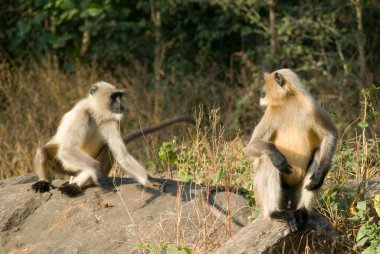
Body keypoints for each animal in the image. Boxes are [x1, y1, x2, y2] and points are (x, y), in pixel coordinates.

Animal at [31, 81, 194, 196]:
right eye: (114, 97)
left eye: (120, 96)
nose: (121, 104)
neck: (96, 113)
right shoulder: (81, 113)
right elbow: (67, 149)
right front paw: (96, 169)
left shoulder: (112, 120)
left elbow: (122, 155)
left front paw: (149, 181)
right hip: (64, 166)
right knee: (43, 150)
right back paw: (44, 181)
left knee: (107, 149)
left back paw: (75, 185)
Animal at [243, 69, 336, 232]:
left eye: (264, 90)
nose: (261, 95)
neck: (289, 101)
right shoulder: (271, 112)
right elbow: (251, 146)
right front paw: (278, 157)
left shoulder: (311, 106)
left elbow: (330, 134)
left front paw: (320, 175)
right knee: (267, 159)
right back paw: (274, 213)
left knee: (318, 153)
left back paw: (302, 210)